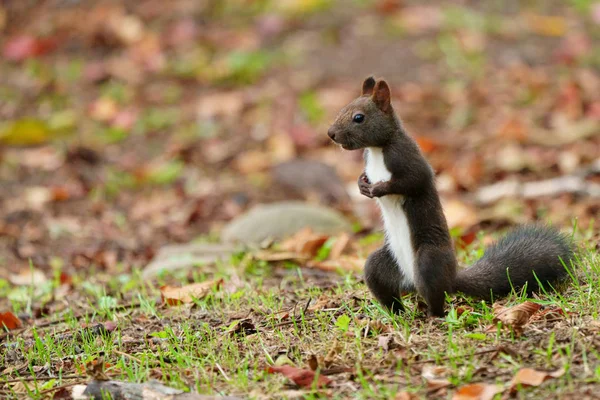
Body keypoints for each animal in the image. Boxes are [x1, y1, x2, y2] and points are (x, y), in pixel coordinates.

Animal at [328, 76, 576, 318]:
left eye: (358, 118)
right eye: (343, 108)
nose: (331, 134)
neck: (378, 150)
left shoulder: (407, 157)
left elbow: (415, 180)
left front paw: (379, 189)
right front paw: (362, 185)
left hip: (428, 260)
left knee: (436, 297)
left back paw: (432, 316)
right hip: (381, 266)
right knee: (386, 288)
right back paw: (395, 315)